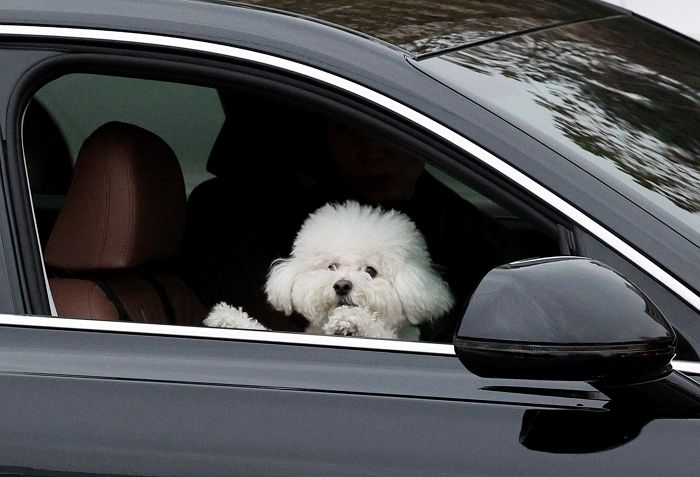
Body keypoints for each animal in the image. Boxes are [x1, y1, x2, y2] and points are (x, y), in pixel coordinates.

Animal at [202, 200, 454, 338]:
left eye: (371, 271)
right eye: (331, 267)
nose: (342, 285)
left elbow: (378, 330)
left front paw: (352, 322)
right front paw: (228, 318)